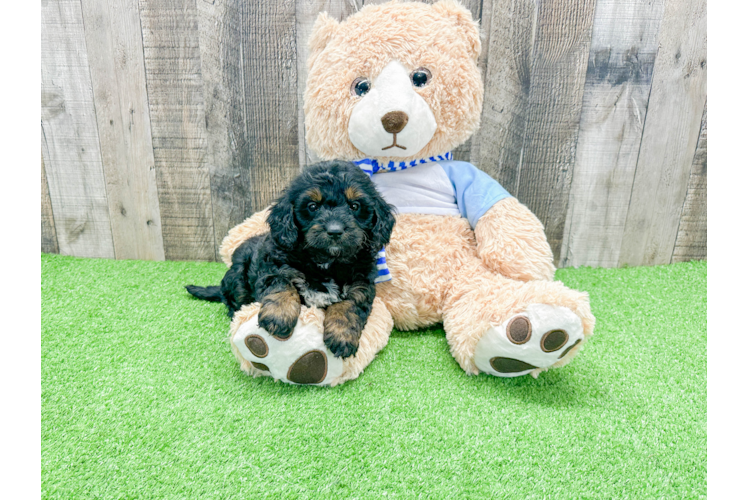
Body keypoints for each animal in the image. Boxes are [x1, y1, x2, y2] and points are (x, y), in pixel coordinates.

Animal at [186, 160, 398, 360]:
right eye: (312, 206)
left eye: (355, 206)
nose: (335, 230)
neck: (326, 262)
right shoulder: (274, 265)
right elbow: (281, 285)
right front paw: (278, 315)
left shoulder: (361, 283)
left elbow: (349, 305)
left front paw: (342, 335)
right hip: (237, 276)